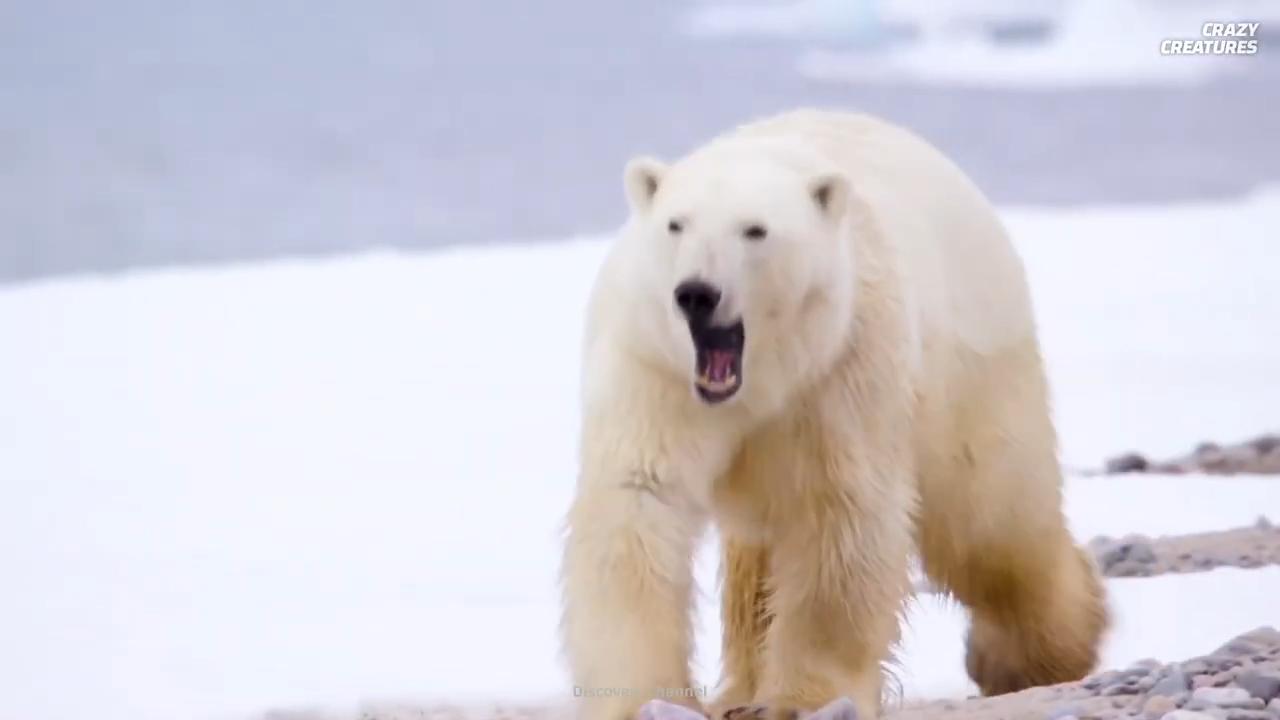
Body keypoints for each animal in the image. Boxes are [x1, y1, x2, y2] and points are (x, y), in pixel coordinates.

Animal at [558, 108, 1110, 720]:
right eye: (676, 225)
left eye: (755, 230)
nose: (696, 293)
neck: (760, 383)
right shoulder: (654, 371)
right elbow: (637, 507)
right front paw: (644, 697)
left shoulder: (840, 370)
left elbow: (839, 519)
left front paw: (802, 698)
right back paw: (741, 690)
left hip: (969, 366)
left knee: (991, 522)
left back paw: (1038, 655)